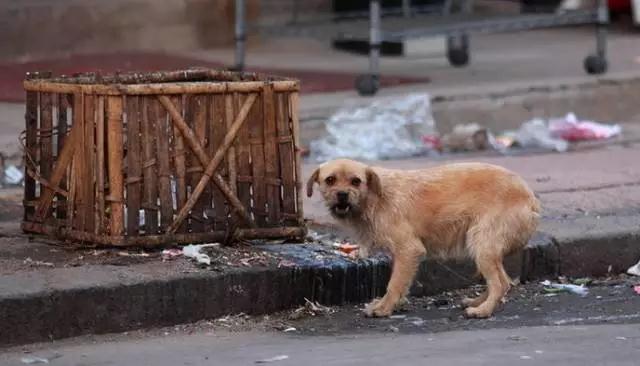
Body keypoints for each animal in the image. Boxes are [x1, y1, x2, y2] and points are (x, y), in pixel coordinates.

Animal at [306, 159, 540, 318]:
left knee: (500, 283)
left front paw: (384, 308)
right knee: (502, 281)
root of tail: (530, 198)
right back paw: (477, 301)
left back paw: (483, 310)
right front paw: (392, 304)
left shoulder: (409, 249)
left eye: (356, 181)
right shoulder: (402, 256)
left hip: (482, 244)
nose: (342, 195)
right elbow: (401, 282)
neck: (374, 197)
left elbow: (394, 283)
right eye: (330, 180)